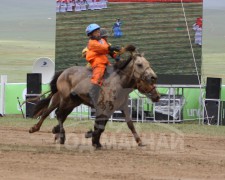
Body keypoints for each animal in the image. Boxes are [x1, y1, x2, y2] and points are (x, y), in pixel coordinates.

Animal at [29, 45, 160, 148]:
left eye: (148, 63)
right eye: (139, 64)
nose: (153, 77)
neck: (119, 83)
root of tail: (64, 72)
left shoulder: (121, 107)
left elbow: (128, 124)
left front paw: (140, 141)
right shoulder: (103, 107)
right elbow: (100, 125)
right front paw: (93, 138)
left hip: (72, 103)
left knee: (59, 114)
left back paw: (55, 132)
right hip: (64, 99)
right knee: (54, 113)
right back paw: (50, 133)